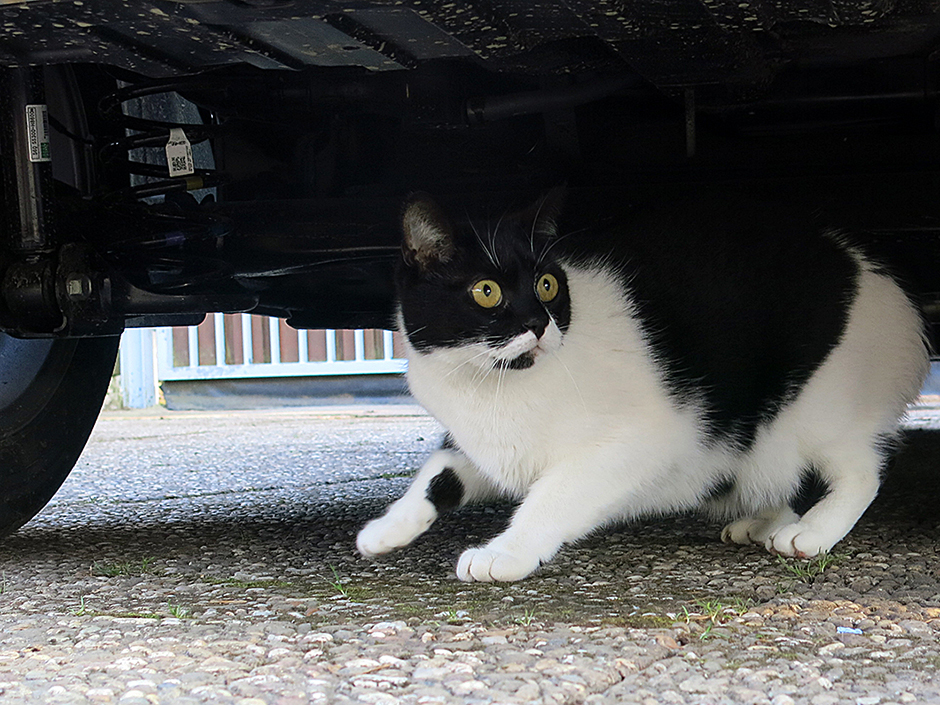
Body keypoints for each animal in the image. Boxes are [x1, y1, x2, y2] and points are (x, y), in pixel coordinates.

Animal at [356, 190, 928, 580]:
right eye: (486, 291)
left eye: (548, 284)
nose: (540, 324)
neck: (491, 385)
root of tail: (876, 271)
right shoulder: (483, 442)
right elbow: (438, 474)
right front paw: (387, 528)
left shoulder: (635, 441)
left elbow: (552, 497)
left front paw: (506, 552)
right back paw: (763, 519)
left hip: (818, 406)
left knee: (862, 469)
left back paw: (812, 530)